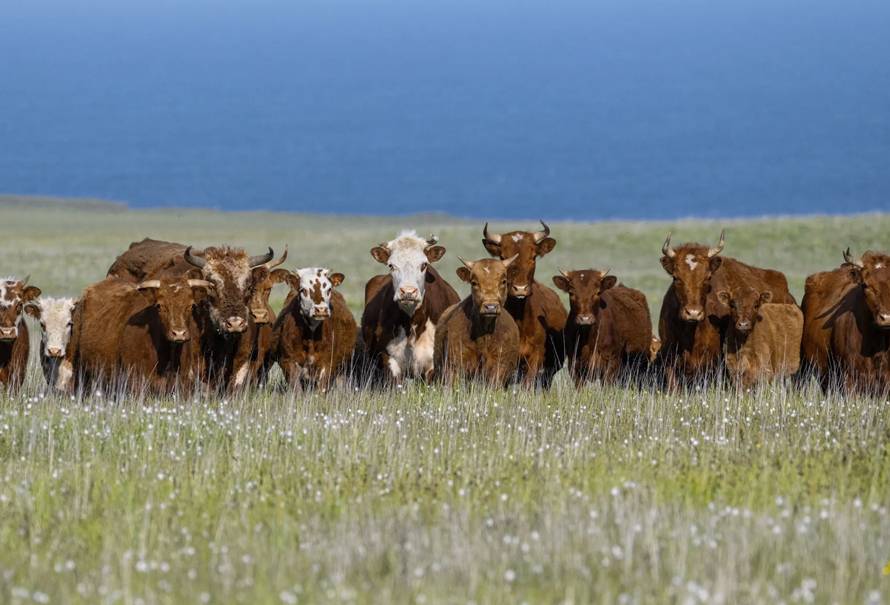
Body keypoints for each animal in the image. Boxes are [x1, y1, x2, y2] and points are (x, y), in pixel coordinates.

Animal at [361, 231, 459, 384]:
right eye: (391, 265)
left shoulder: (432, 364)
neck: (412, 323)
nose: (408, 291)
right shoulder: (389, 359)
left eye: (424, 264)